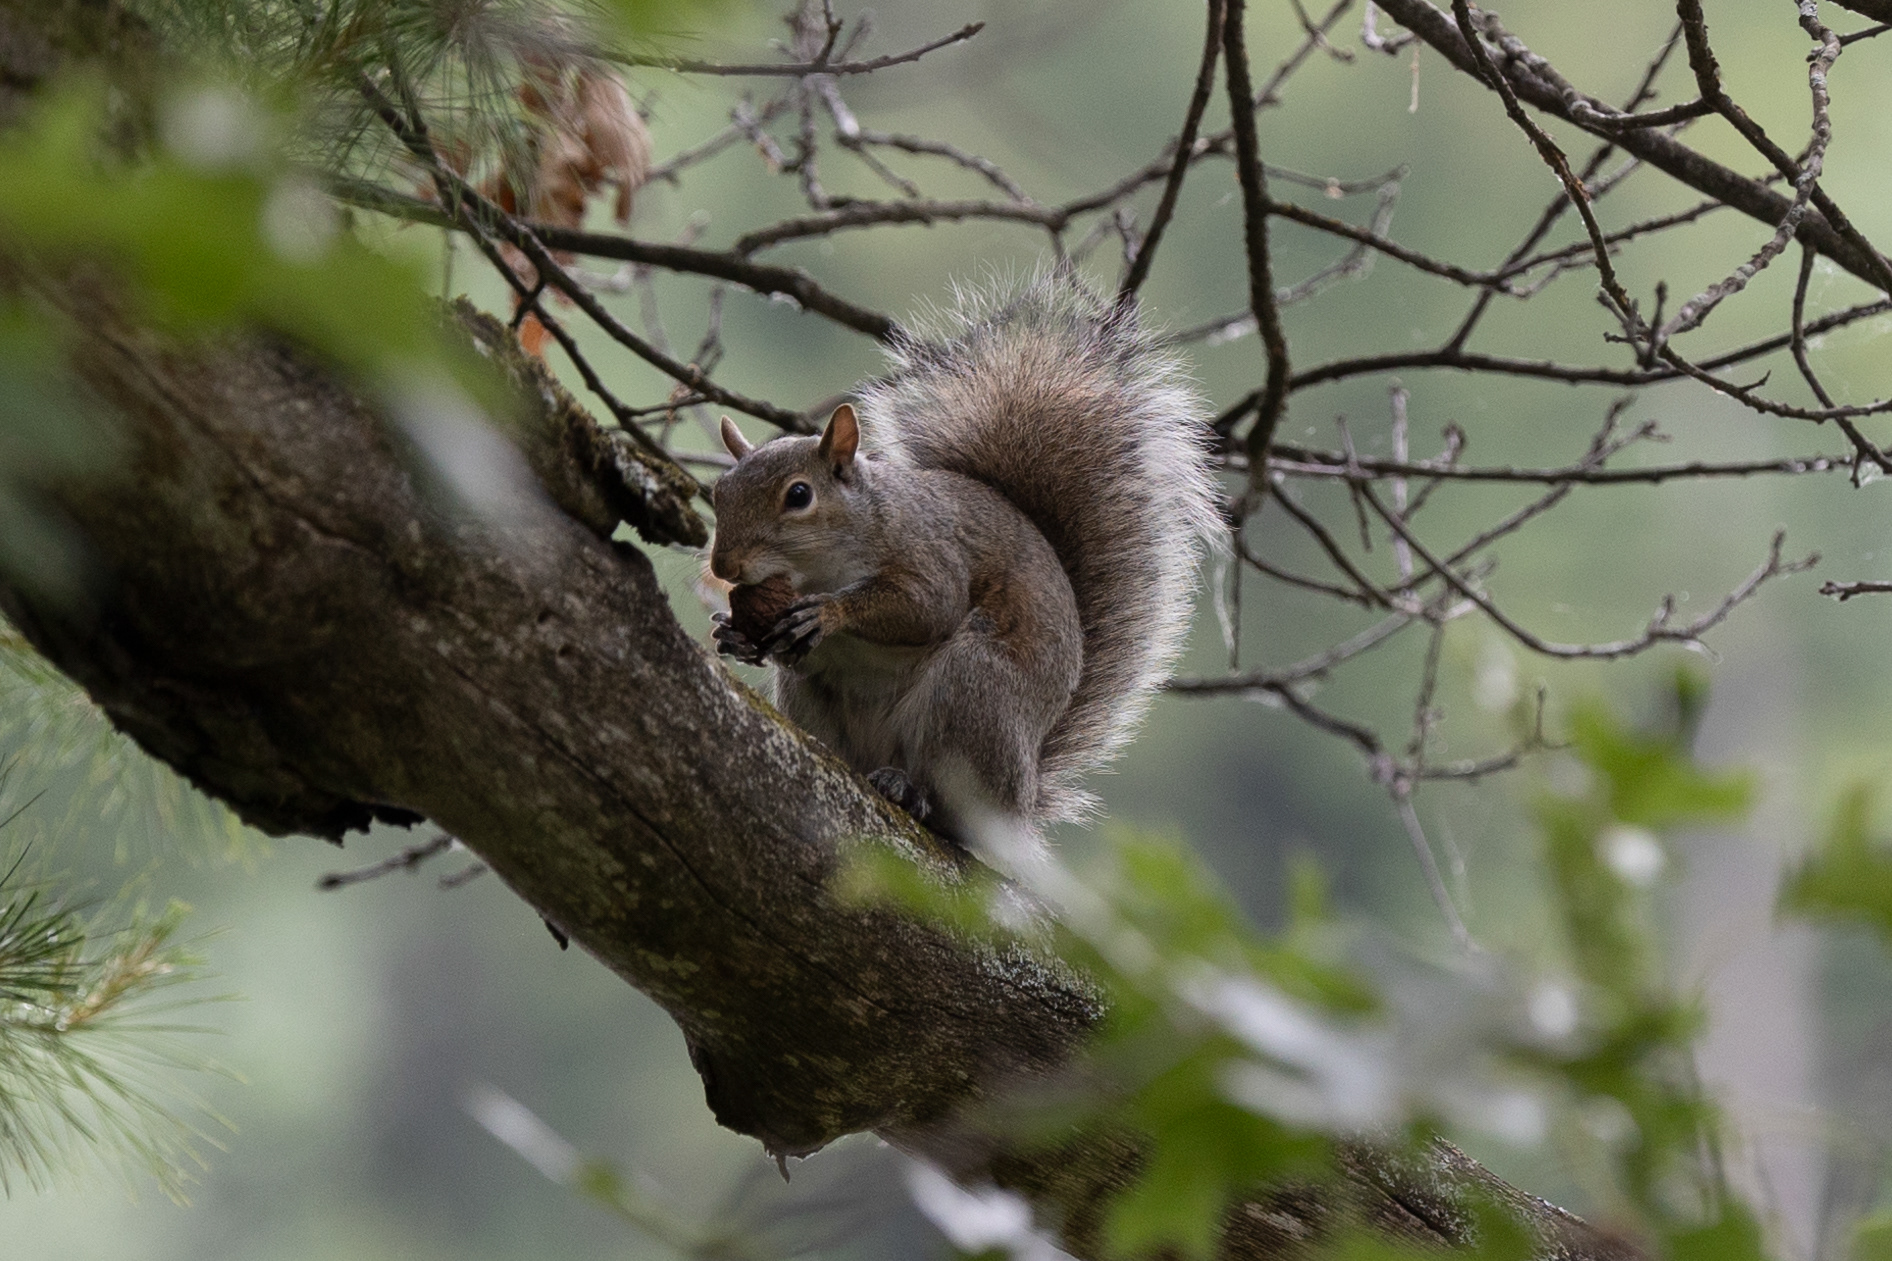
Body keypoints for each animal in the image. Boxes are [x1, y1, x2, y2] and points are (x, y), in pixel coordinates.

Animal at [708, 278, 1222, 849]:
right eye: (718, 492)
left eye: (798, 495)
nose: (725, 565)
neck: (821, 569)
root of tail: (1021, 801)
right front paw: (735, 635)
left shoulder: (932, 554)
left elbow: (926, 608)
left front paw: (830, 612)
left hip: (973, 692)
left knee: (956, 810)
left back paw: (912, 792)